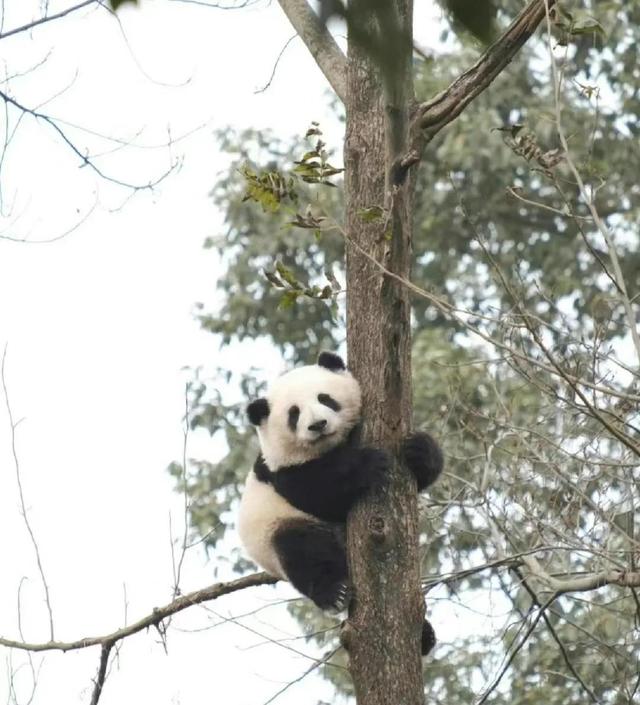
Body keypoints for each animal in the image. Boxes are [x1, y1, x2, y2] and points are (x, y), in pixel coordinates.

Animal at [238, 352, 442, 656]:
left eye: (325, 398)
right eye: (294, 413)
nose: (318, 425)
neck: (330, 448)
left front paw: (418, 450)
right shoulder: (282, 472)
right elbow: (321, 491)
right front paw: (368, 464)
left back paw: (425, 637)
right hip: (275, 530)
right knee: (301, 548)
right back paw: (335, 593)